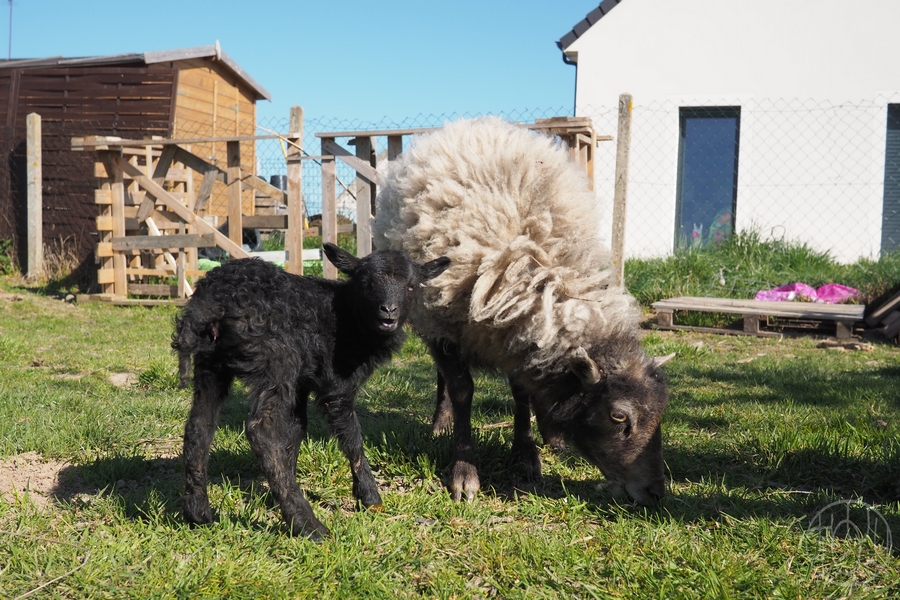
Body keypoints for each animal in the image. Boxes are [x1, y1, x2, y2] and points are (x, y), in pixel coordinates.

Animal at [171, 241, 450, 540]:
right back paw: (308, 524)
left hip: (211, 364)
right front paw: (370, 498)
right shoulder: (337, 385)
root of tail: (212, 301)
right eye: (366, 282)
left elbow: (296, 430)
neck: (347, 315)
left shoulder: (302, 383)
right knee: (261, 430)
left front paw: (281, 484)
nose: (389, 311)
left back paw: (198, 512)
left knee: (200, 426)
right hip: (276, 361)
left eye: (411, 286)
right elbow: (352, 438)